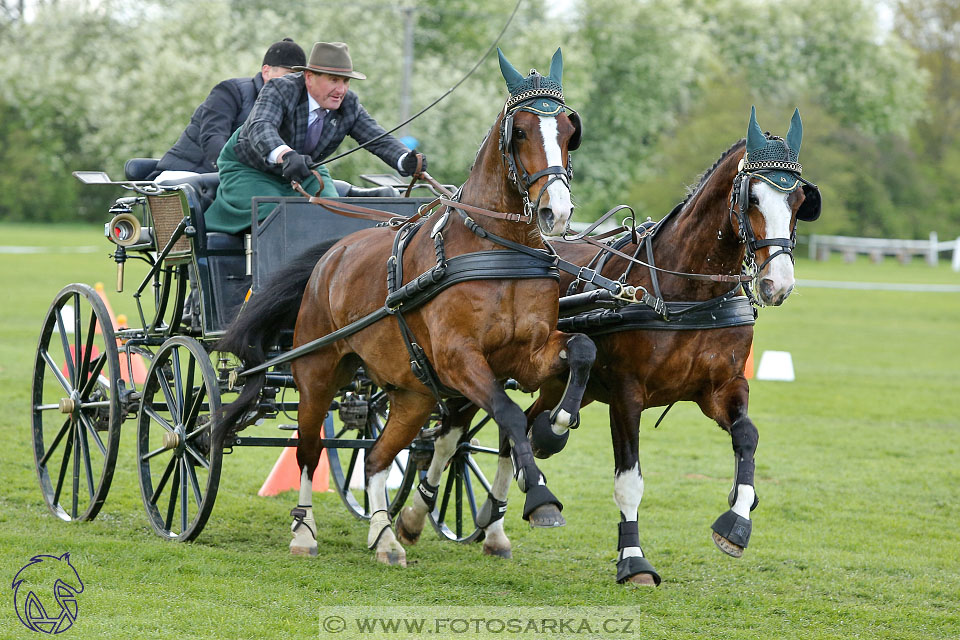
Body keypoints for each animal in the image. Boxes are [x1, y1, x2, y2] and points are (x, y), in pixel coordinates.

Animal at [215, 48, 596, 564]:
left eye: (569, 131)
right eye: (519, 131)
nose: (556, 212)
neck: (498, 248)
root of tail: (333, 251)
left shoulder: (525, 355)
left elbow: (580, 351)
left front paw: (556, 426)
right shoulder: (460, 359)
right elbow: (510, 415)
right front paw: (540, 498)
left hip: (412, 394)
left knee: (376, 456)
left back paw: (385, 538)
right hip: (317, 374)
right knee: (309, 450)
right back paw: (304, 533)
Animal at [402, 109, 820, 580]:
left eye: (799, 202)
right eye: (752, 199)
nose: (777, 285)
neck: (685, 293)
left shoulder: (723, 388)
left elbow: (748, 436)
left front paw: (737, 521)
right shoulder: (626, 395)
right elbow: (629, 482)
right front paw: (633, 559)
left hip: (553, 380)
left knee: (519, 427)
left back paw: (497, 522)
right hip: (472, 364)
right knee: (451, 437)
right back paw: (415, 515)